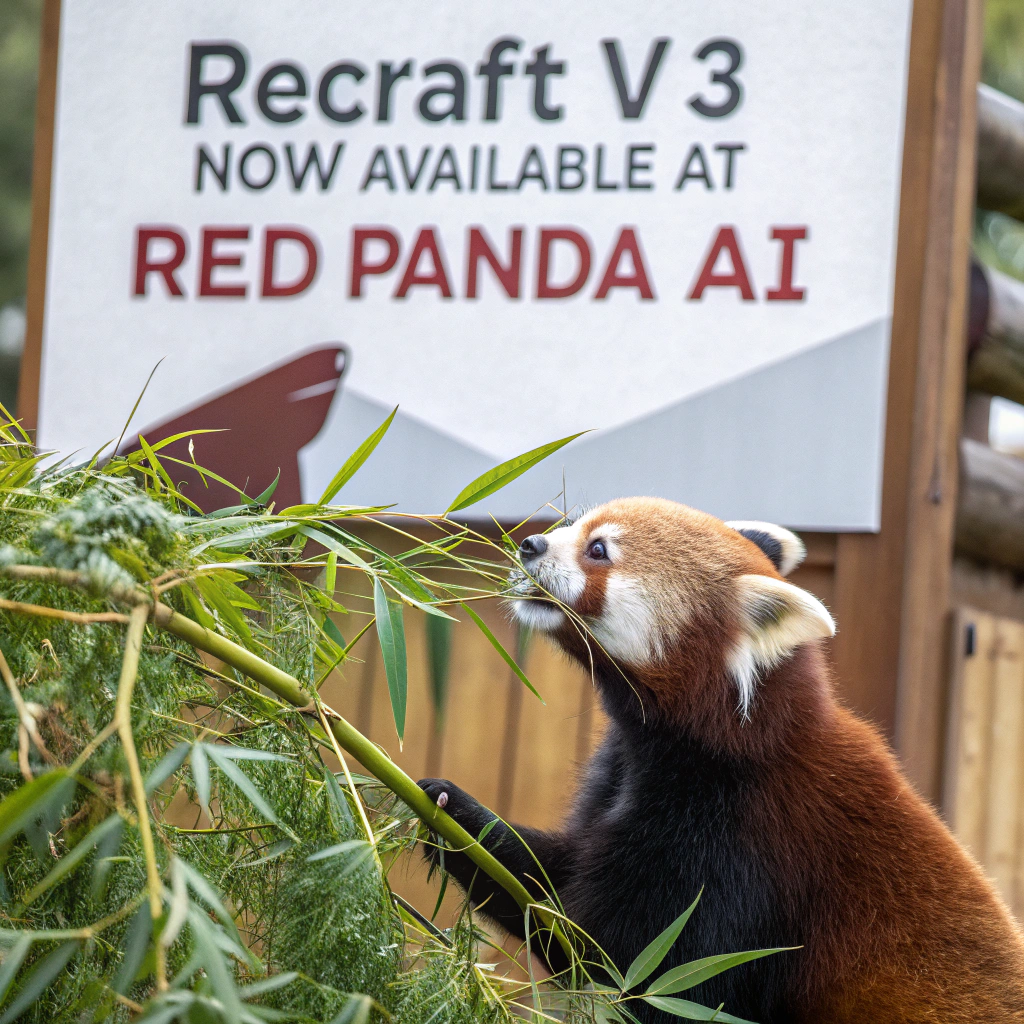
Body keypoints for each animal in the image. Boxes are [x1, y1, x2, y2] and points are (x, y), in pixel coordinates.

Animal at [418, 497, 1024, 1023]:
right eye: (575, 525)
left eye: (598, 550)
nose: (531, 543)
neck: (719, 747)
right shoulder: (622, 777)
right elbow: (548, 885)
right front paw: (451, 812)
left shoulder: (738, 845)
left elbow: (635, 964)